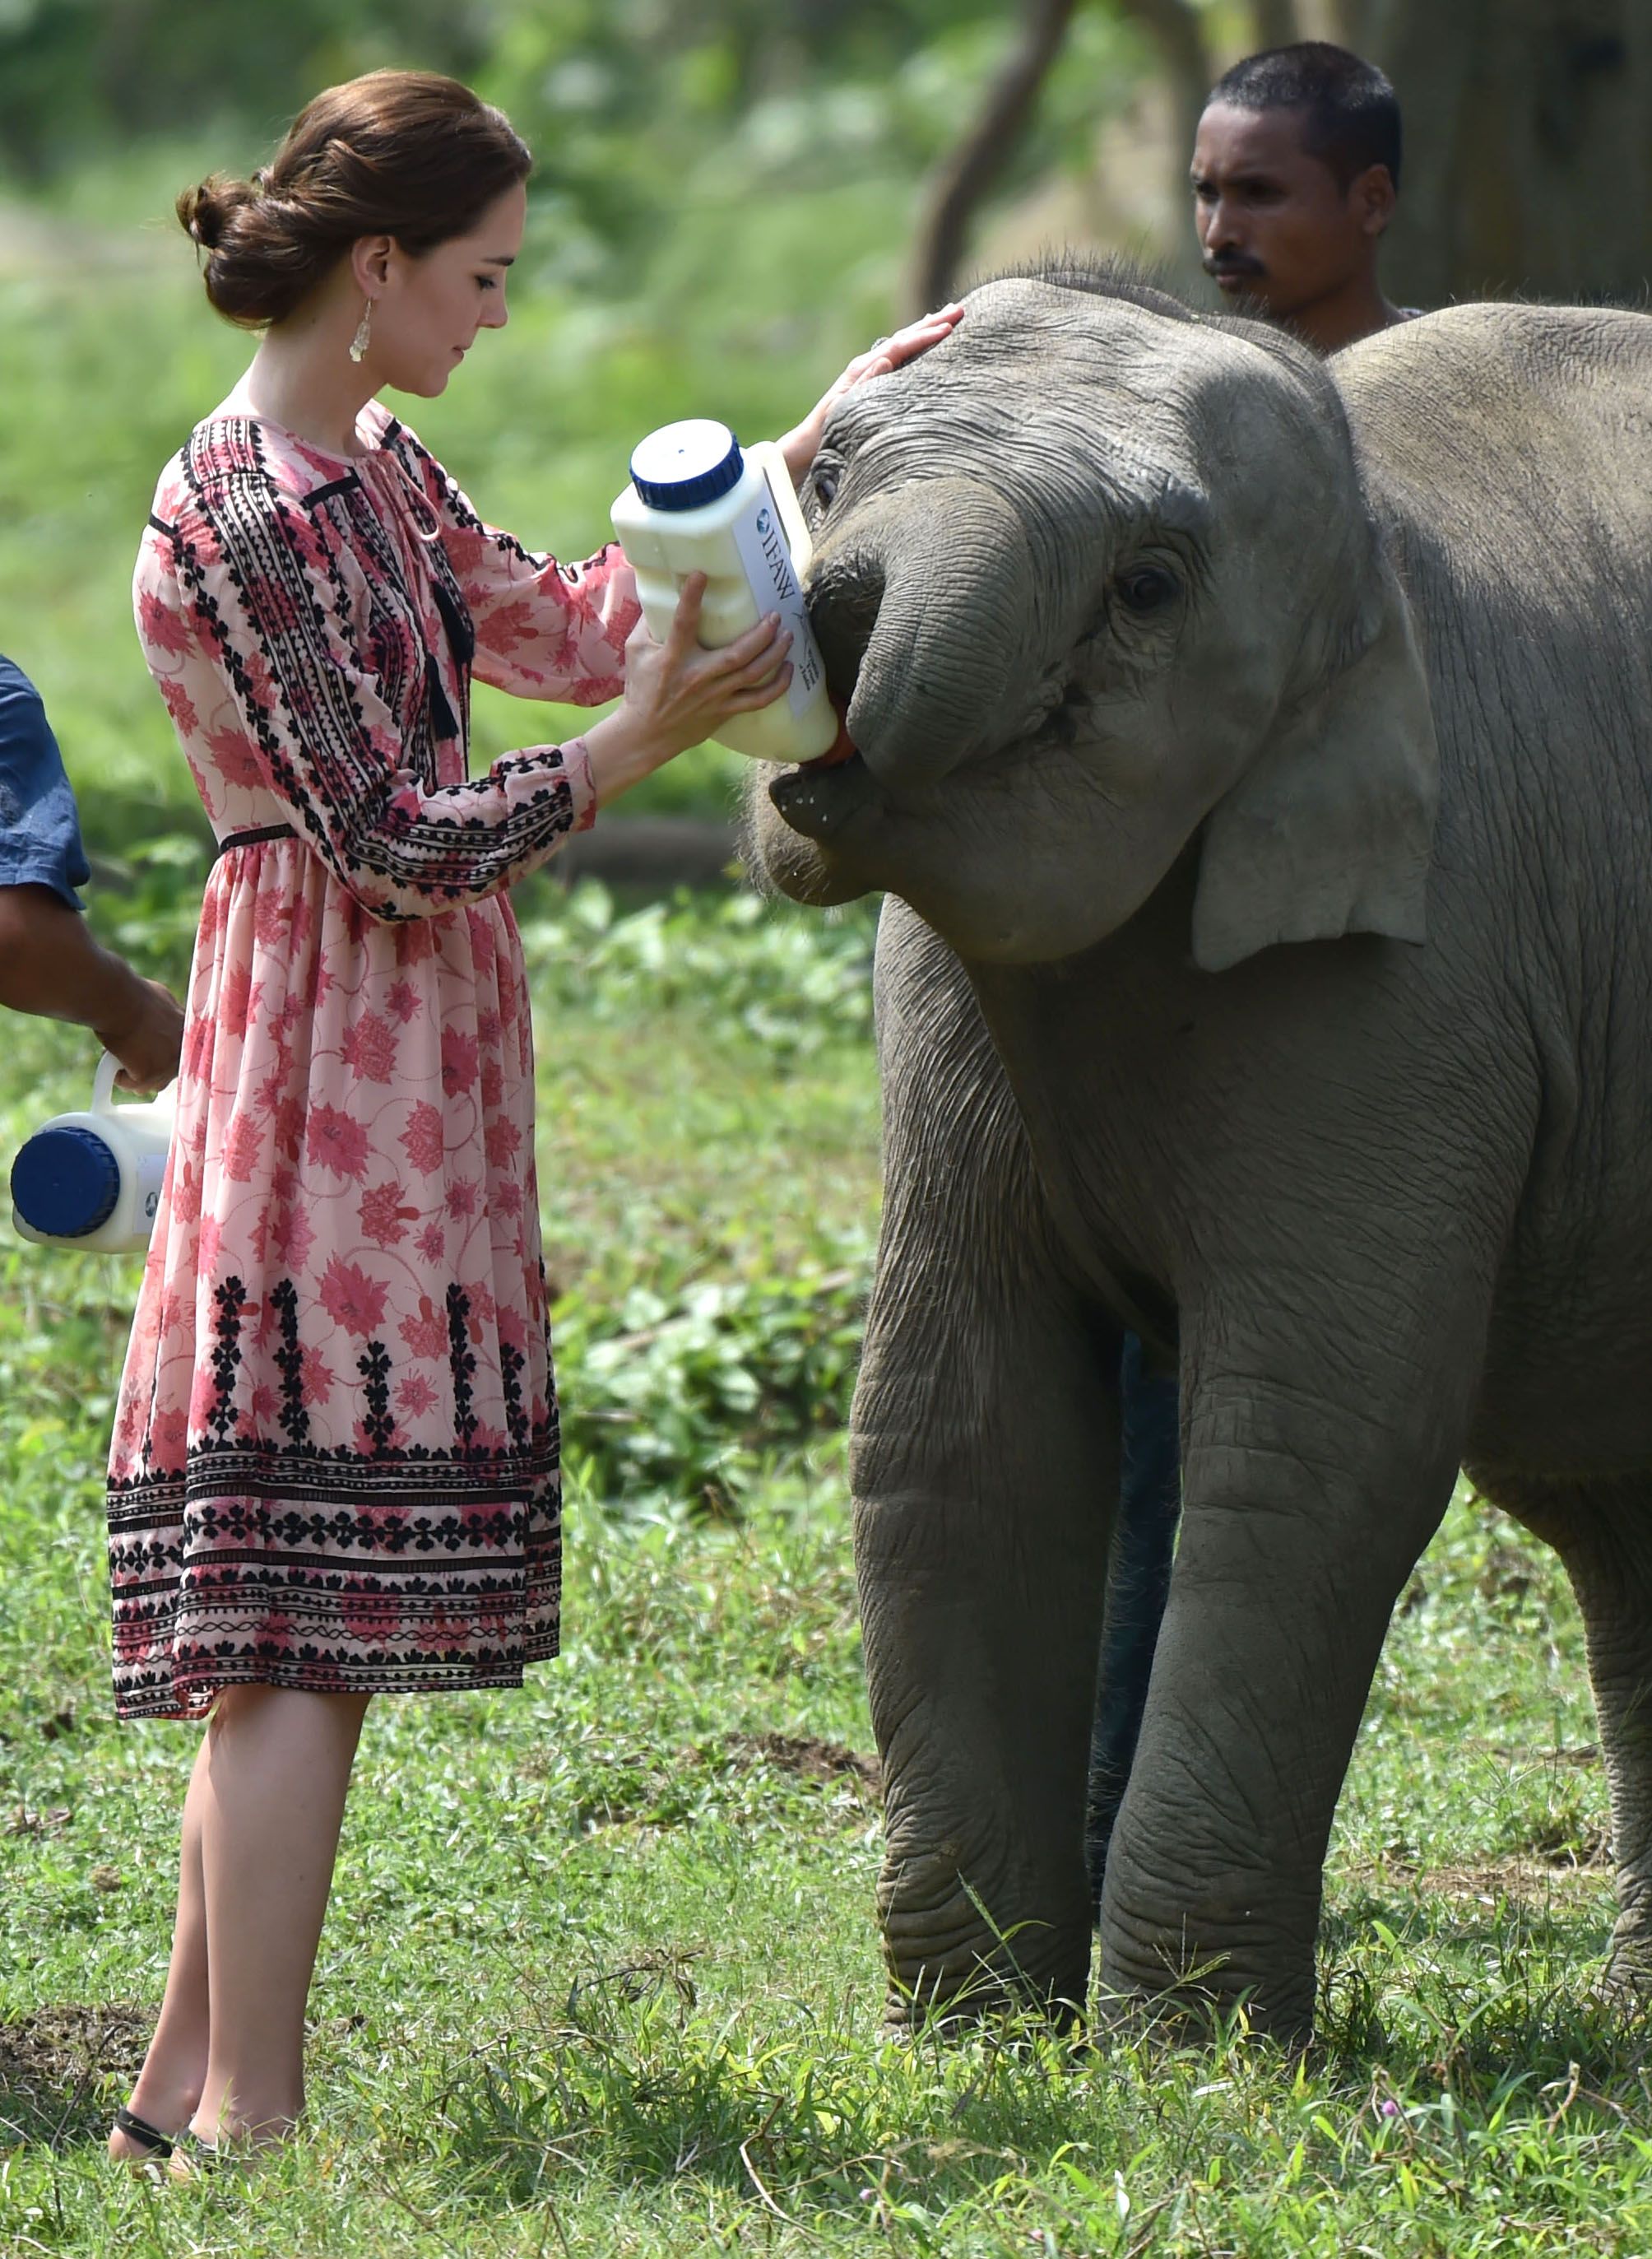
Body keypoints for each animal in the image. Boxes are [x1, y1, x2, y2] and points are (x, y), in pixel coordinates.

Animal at [754, 268, 1651, 2051]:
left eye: (1148, 588)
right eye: (826, 473)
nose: (825, 615)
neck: (1369, 534)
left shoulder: (1420, 963)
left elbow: (1311, 1452)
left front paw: (1187, 2056)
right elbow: (955, 1426)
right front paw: (970, 2036)